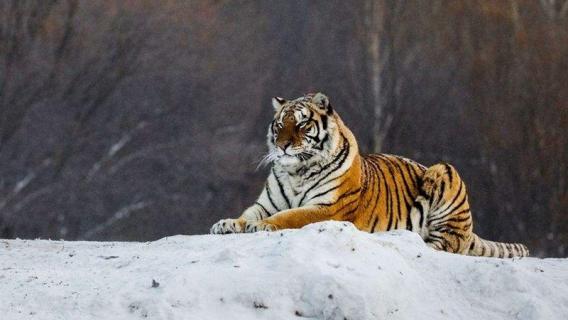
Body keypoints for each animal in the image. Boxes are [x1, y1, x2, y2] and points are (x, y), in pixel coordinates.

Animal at [211, 92, 532, 258]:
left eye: (302, 124)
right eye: (279, 125)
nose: (282, 146)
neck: (297, 170)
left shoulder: (327, 208)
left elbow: (289, 216)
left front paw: (263, 226)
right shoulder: (267, 203)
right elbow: (248, 214)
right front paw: (226, 224)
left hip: (445, 172)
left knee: (447, 245)